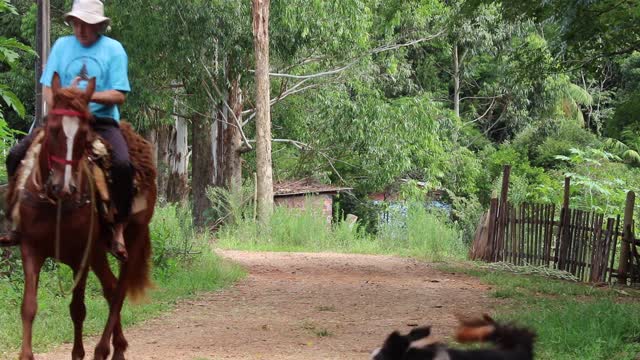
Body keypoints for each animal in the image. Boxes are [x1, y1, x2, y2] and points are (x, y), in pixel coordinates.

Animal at [9, 73, 156, 360]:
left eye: (84, 134)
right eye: (52, 128)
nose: (63, 185)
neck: (55, 203)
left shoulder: (82, 256)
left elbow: (78, 307)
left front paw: (79, 353)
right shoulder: (31, 248)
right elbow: (29, 306)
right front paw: (26, 355)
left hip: (131, 239)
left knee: (118, 291)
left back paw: (104, 349)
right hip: (100, 251)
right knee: (110, 288)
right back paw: (118, 346)